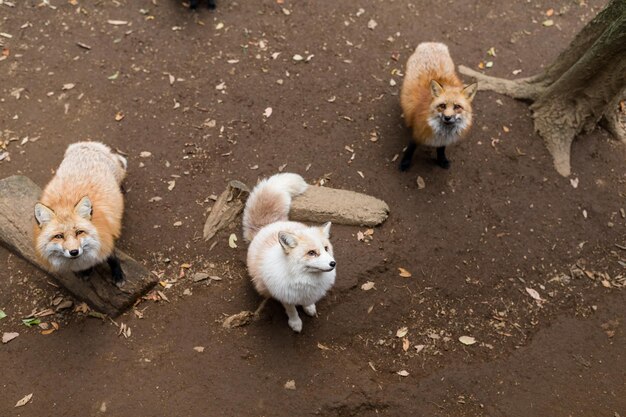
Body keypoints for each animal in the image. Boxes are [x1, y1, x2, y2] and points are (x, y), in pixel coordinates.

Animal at [34, 142, 128, 282]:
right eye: (59, 236)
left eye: (79, 232)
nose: (74, 252)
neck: (65, 204)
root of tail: (87, 144)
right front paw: (86, 271)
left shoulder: (107, 236)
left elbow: (112, 257)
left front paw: (118, 275)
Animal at [241, 172, 336, 332]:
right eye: (311, 253)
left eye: (326, 248)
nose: (333, 263)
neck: (304, 279)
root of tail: (270, 225)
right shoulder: (285, 296)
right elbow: (292, 311)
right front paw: (295, 323)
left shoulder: (308, 294)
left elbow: (307, 302)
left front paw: (309, 308)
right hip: (262, 286)